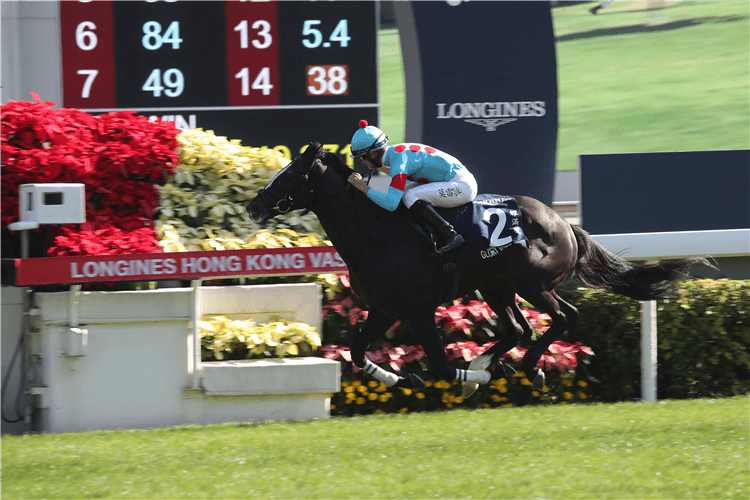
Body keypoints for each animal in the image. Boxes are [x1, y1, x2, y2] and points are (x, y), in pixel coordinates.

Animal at [250, 143, 712, 396]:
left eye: (288, 174)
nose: (255, 206)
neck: (377, 234)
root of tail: (564, 223)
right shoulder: (383, 309)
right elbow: (358, 352)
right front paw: (409, 380)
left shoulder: (418, 311)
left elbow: (438, 364)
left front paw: (472, 379)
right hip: (495, 286)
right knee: (518, 329)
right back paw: (491, 363)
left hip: (531, 282)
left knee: (564, 316)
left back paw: (526, 367)